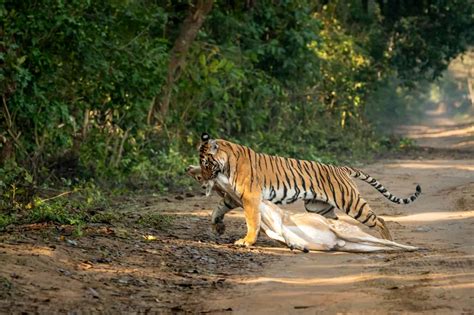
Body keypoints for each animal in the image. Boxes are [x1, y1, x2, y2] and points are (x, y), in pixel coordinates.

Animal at [198, 133, 420, 247]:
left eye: (206, 164)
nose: (203, 179)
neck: (227, 162)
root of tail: (341, 168)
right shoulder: (235, 196)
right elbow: (218, 208)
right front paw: (217, 226)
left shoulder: (250, 197)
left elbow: (252, 221)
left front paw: (246, 241)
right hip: (319, 207)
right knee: (335, 223)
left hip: (351, 202)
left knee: (379, 219)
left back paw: (388, 240)